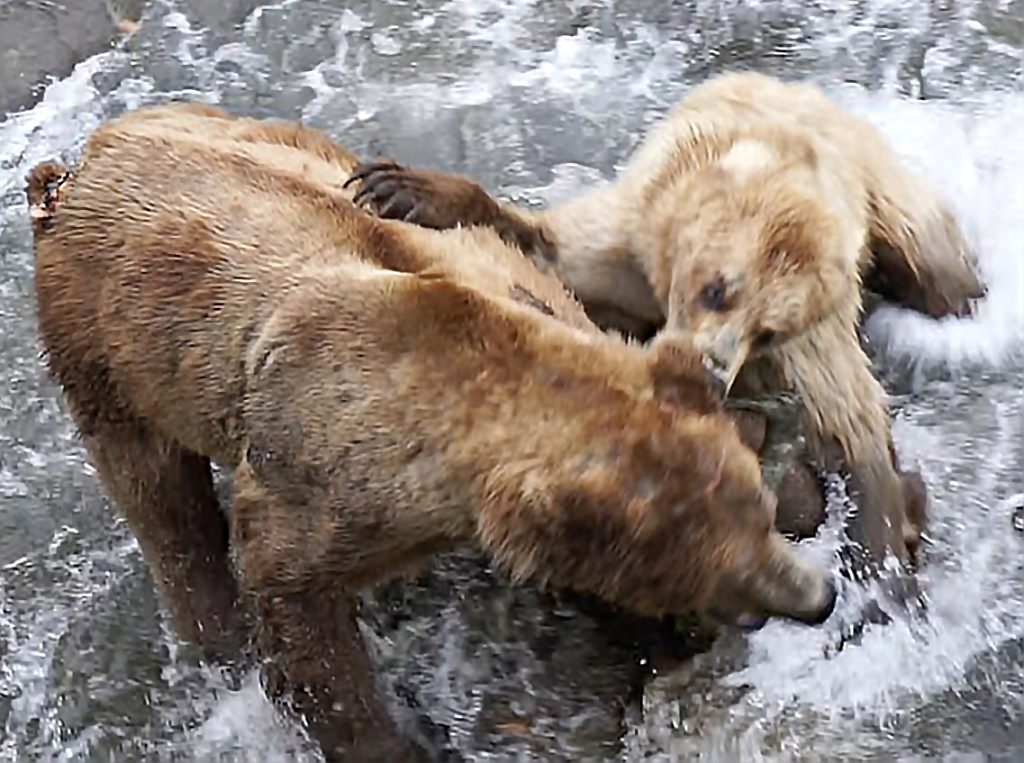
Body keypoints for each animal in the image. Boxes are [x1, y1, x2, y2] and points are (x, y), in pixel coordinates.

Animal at [28, 103, 835, 761]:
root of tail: (81, 162)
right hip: (110, 343)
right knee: (164, 504)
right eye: (708, 573)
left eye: (757, 519)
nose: (815, 596)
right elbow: (297, 613)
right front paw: (392, 740)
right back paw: (211, 629)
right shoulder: (323, 474)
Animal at [344, 72, 983, 577]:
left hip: (893, 204)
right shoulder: (632, 234)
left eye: (768, 331)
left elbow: (851, 422)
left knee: (940, 276)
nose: (711, 370)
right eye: (716, 289)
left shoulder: (814, 330)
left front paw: (881, 558)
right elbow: (551, 246)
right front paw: (401, 187)